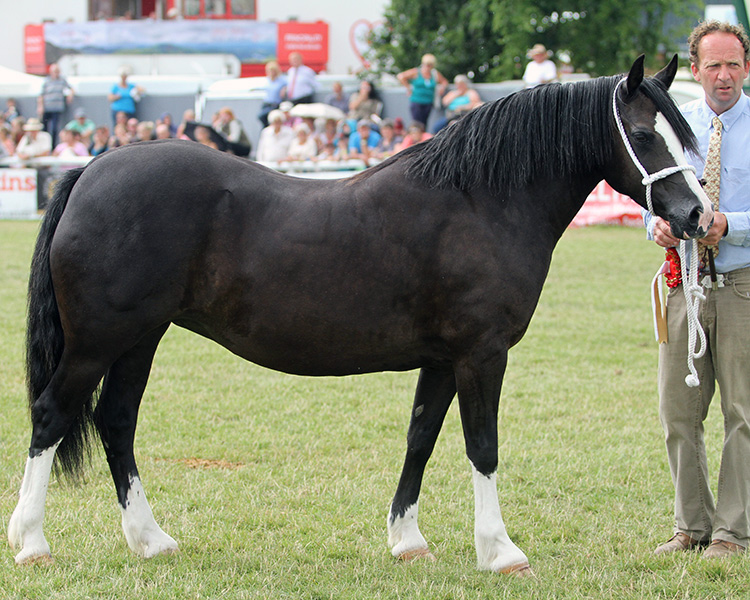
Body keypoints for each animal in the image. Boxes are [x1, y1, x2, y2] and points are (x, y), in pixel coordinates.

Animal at [10, 55, 712, 572]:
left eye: (688, 133)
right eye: (645, 134)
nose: (698, 216)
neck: (479, 201)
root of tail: (94, 167)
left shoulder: (443, 359)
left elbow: (421, 437)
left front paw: (407, 540)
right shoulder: (481, 354)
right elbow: (481, 445)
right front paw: (499, 551)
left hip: (139, 339)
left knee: (115, 421)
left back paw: (150, 540)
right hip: (99, 341)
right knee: (52, 415)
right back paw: (32, 541)